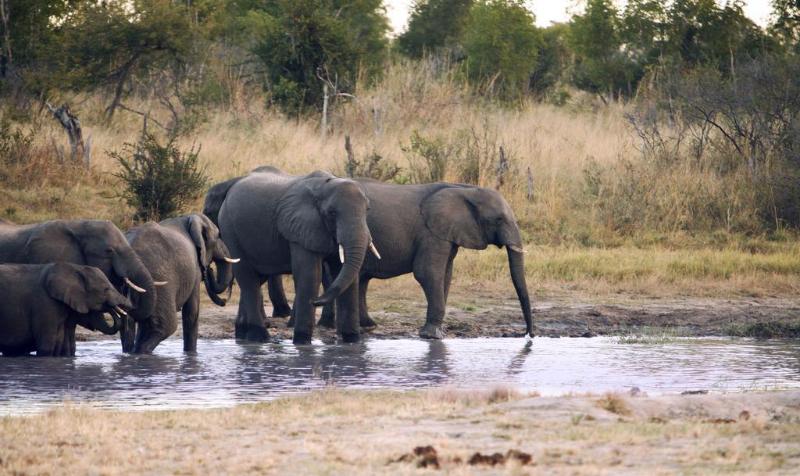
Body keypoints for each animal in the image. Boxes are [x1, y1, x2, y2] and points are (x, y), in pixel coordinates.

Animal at [125, 214, 237, 353]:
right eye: (218, 236)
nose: (209, 270)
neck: (190, 218)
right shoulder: (194, 267)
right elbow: (191, 313)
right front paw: (191, 354)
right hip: (158, 280)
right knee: (166, 327)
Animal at [212, 167, 378, 344]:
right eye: (332, 213)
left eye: (367, 210)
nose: (315, 301)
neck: (324, 187)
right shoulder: (299, 227)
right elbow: (310, 275)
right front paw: (302, 342)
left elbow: (346, 275)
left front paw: (352, 341)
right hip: (230, 228)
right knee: (247, 278)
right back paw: (259, 337)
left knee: (255, 279)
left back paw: (243, 335)